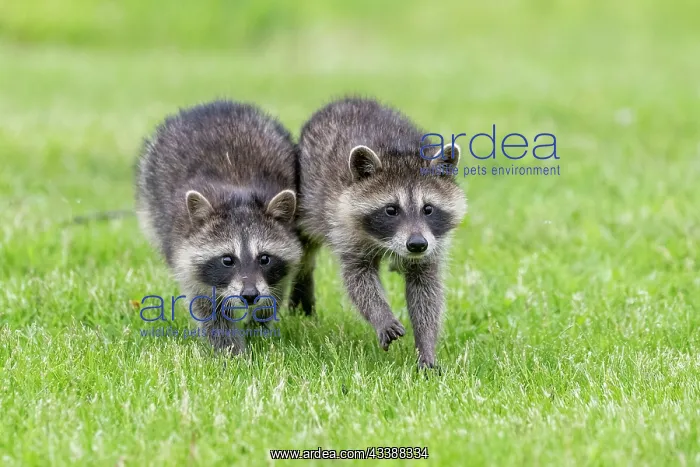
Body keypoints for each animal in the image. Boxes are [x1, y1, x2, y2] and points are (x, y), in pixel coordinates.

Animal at [136, 100, 302, 354]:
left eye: (264, 258)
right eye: (227, 260)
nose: (250, 295)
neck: (238, 192)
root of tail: (210, 105)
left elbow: (275, 290)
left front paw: (260, 328)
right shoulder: (185, 252)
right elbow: (207, 305)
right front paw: (230, 350)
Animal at [291, 97, 466, 369]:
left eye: (428, 209)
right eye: (391, 210)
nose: (417, 245)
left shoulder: (432, 245)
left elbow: (427, 291)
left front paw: (426, 345)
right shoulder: (345, 226)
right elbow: (358, 280)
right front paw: (380, 314)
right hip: (309, 204)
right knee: (305, 252)